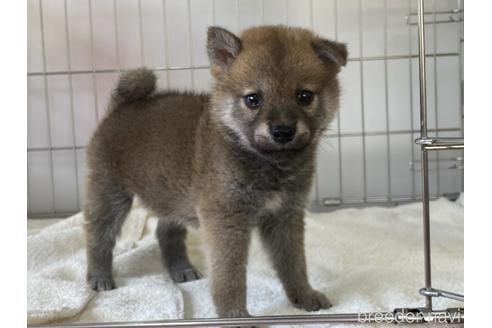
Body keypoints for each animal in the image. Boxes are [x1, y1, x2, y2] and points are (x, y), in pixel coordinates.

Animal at [84, 25, 346, 320]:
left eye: (304, 96)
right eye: (253, 99)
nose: (282, 131)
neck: (266, 164)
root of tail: (122, 106)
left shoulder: (285, 217)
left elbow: (294, 264)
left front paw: (303, 296)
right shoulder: (226, 221)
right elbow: (229, 277)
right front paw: (235, 316)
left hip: (172, 197)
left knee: (166, 233)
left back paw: (180, 268)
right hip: (110, 193)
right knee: (98, 236)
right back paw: (99, 276)